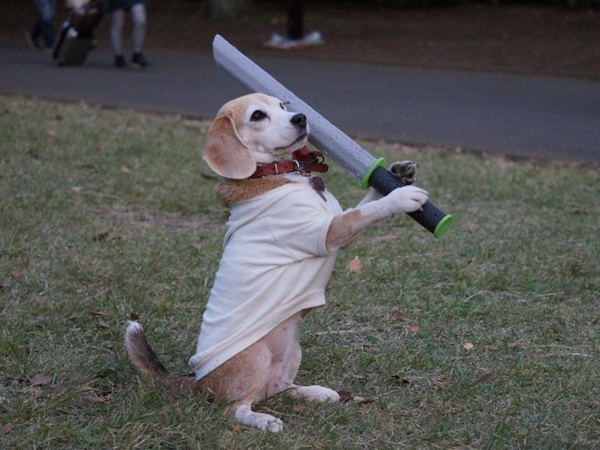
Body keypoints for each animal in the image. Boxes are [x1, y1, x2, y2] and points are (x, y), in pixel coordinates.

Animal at [125, 93, 429, 433]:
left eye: (283, 106)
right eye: (258, 115)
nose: (301, 118)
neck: (275, 172)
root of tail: (200, 384)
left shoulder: (337, 224)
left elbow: (363, 204)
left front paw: (398, 173)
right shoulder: (330, 232)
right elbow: (366, 211)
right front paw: (400, 197)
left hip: (293, 349)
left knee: (278, 388)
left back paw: (314, 392)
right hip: (255, 357)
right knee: (236, 409)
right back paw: (264, 421)